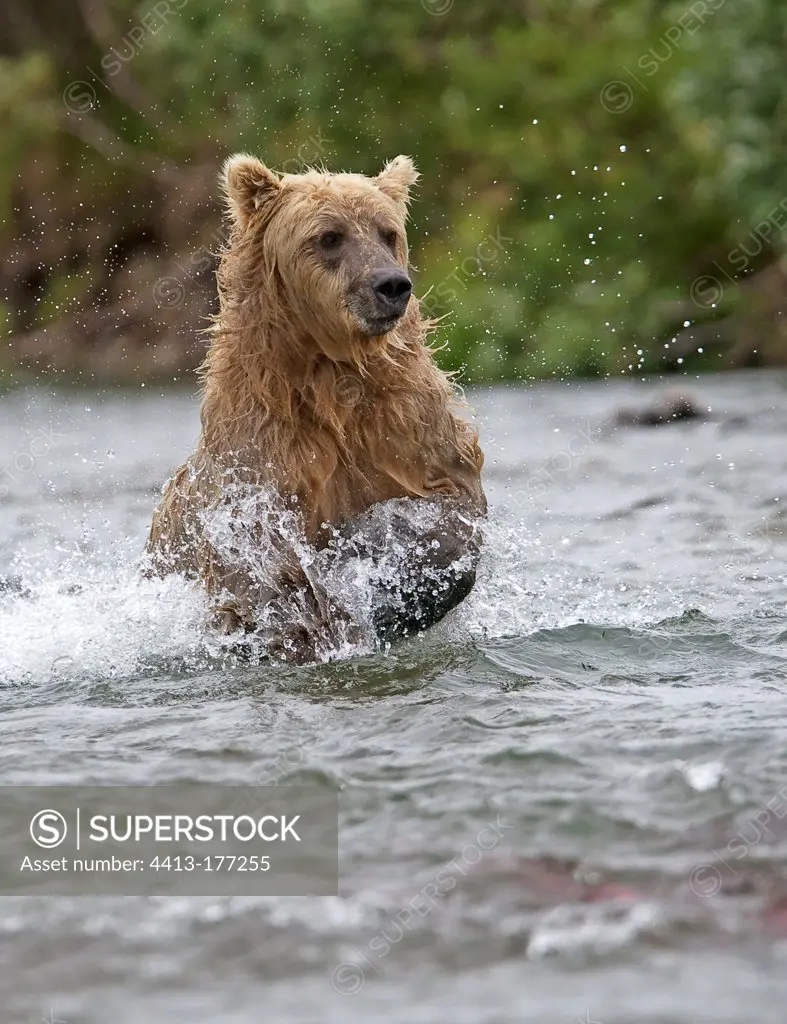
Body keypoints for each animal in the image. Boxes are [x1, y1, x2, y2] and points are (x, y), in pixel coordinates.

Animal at [143, 153, 485, 663]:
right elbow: (257, 559)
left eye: (388, 232)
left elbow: (452, 502)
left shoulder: (401, 421)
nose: (391, 285)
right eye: (329, 236)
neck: (328, 377)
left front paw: (387, 580)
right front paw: (313, 615)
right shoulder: (264, 451)